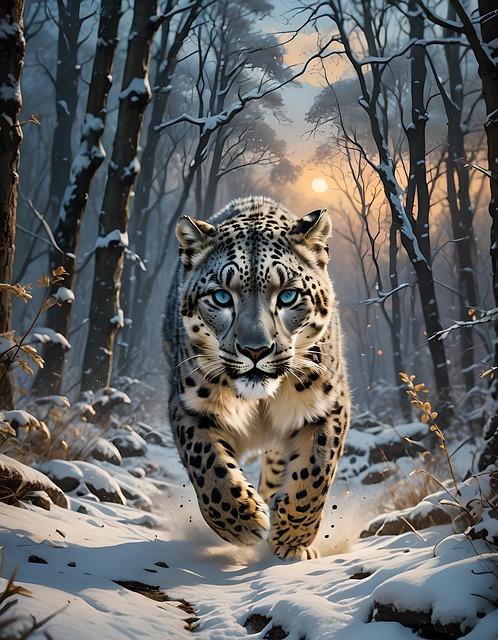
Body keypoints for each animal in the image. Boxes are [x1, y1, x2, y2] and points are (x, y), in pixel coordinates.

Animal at [164, 196, 350, 561]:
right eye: (221, 296)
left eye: (288, 295)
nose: (255, 350)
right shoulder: (188, 407)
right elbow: (207, 466)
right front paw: (245, 520)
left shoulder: (330, 406)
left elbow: (315, 472)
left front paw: (292, 538)